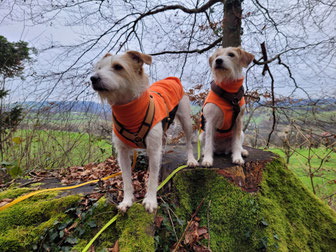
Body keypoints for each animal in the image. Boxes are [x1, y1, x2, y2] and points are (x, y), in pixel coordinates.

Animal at [90, 50, 198, 213]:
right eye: (99, 68)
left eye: (118, 67)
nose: (93, 78)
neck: (129, 112)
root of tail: (171, 79)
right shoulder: (122, 153)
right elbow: (126, 179)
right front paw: (127, 200)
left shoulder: (152, 150)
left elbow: (152, 177)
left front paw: (151, 200)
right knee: (164, 139)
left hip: (185, 119)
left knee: (189, 141)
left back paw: (191, 159)